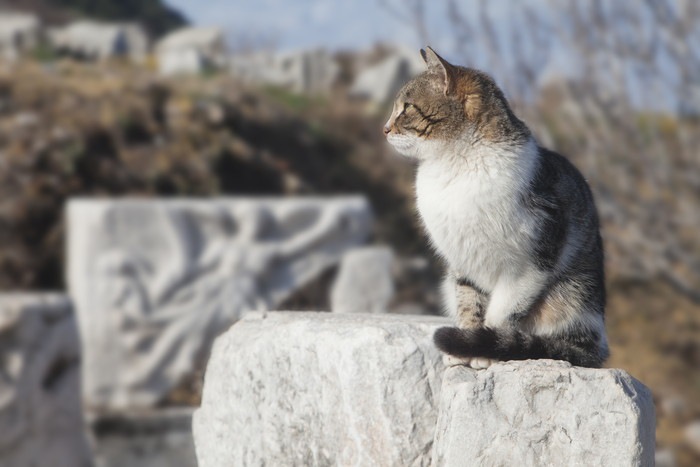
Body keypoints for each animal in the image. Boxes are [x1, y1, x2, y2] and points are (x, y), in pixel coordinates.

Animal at [382, 47, 608, 370]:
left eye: (407, 108)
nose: (384, 129)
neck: (456, 166)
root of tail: (599, 345)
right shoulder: (462, 260)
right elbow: (468, 304)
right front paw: (463, 348)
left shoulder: (531, 265)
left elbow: (502, 314)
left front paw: (485, 351)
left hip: (572, 295)